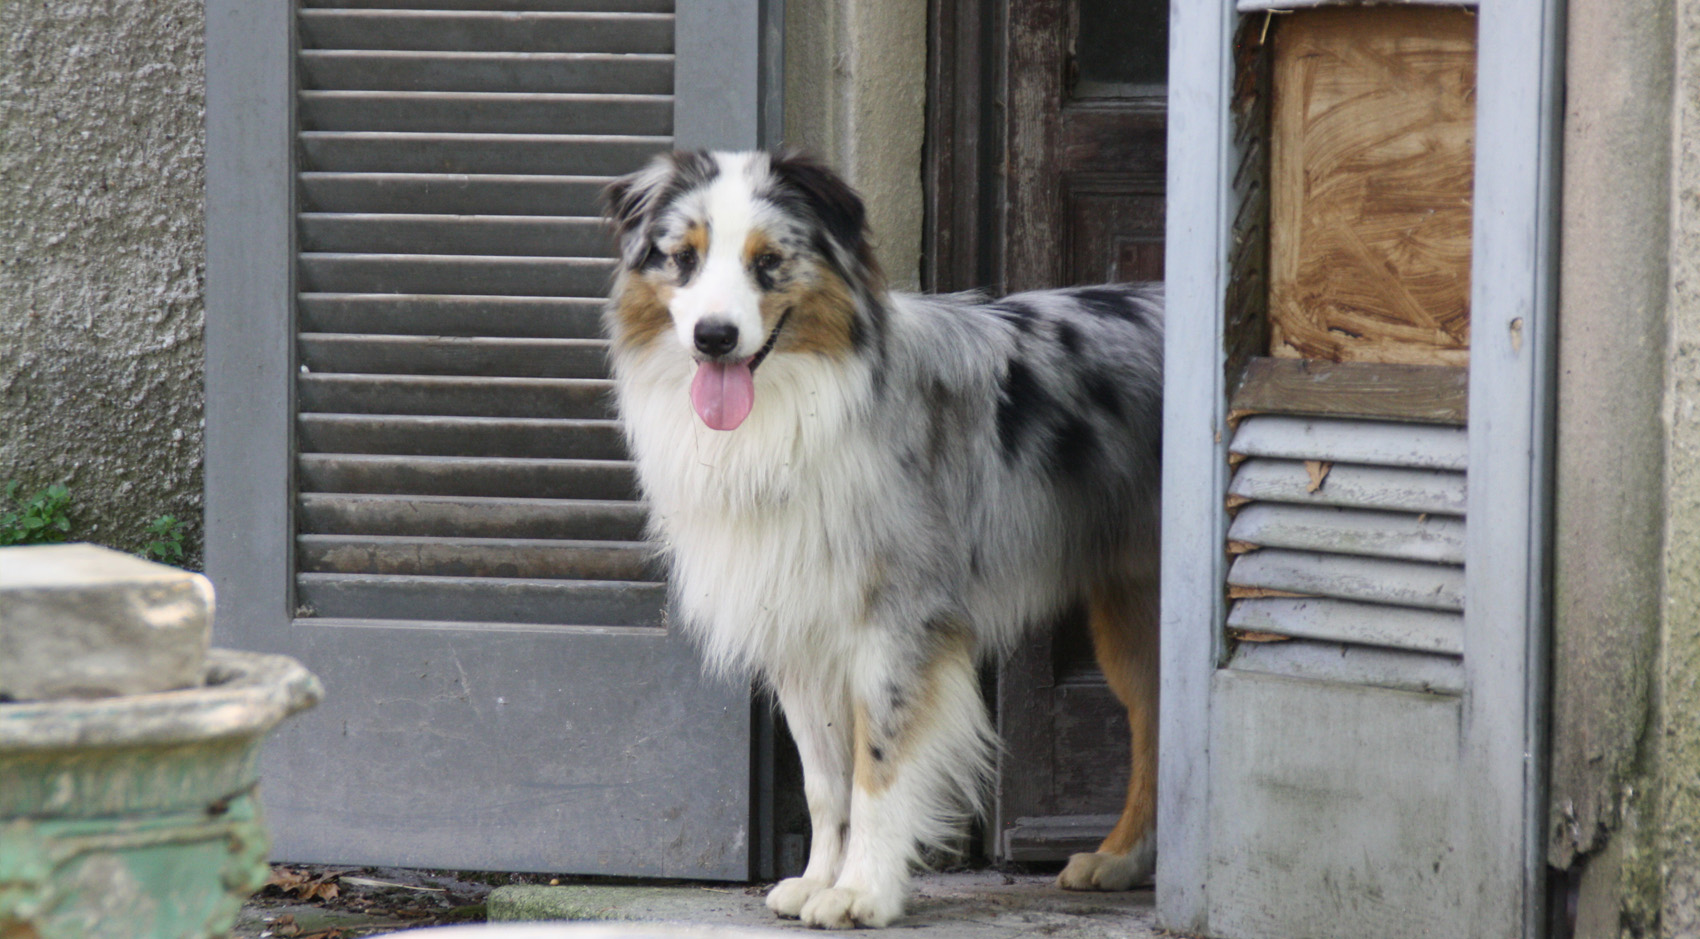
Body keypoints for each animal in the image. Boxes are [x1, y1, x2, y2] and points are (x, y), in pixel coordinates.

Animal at [605, 150, 1162, 925]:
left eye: (769, 261)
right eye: (683, 258)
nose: (714, 336)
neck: (791, 415)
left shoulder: (897, 625)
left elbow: (879, 766)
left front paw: (862, 891)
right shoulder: (800, 634)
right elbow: (825, 780)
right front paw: (818, 877)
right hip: (1130, 612)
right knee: (1157, 724)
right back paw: (1121, 859)